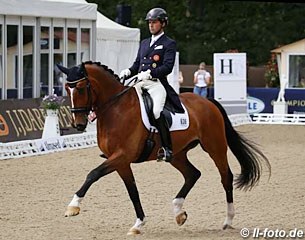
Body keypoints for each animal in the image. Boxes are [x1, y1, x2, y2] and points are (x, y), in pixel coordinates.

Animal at [58, 62, 270, 236]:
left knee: (225, 177)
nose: (78, 124)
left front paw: (73, 207)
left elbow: (93, 174)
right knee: (193, 174)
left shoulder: (122, 156)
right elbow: (132, 191)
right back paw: (179, 212)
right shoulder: (121, 161)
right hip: (177, 154)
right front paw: (138, 224)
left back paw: (228, 220)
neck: (115, 109)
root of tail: (208, 101)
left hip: (215, 147)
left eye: (81, 88)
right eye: (67, 88)